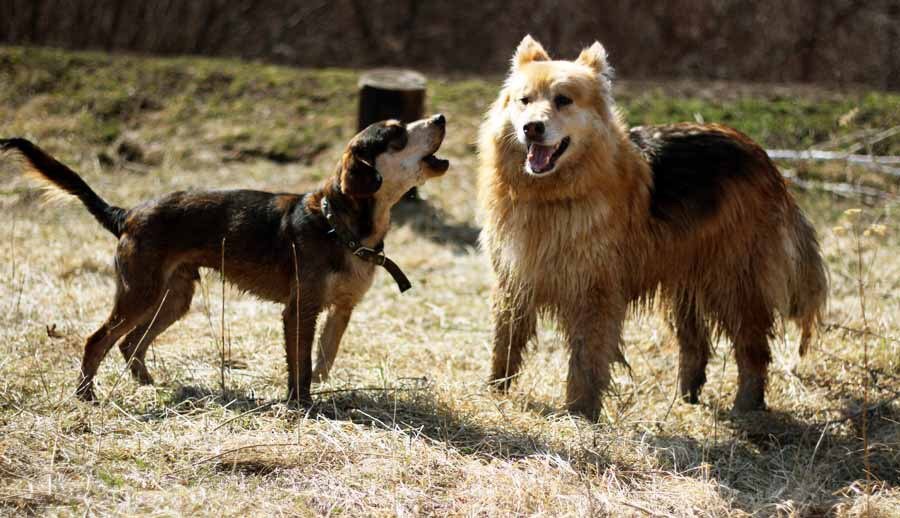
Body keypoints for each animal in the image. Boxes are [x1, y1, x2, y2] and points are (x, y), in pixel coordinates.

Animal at [0, 116, 450, 404]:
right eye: (397, 134)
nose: (441, 116)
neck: (337, 223)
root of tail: (127, 214)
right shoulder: (299, 309)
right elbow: (301, 364)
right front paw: (300, 404)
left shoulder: (341, 308)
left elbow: (326, 354)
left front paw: (318, 390)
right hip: (140, 293)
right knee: (98, 340)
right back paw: (86, 396)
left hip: (173, 297)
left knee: (130, 343)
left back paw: (148, 384)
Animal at [482, 35, 828, 418]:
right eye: (524, 100)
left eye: (563, 100)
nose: (531, 127)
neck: (550, 195)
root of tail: (762, 155)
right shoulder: (514, 279)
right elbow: (505, 342)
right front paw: (495, 391)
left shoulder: (594, 292)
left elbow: (585, 359)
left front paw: (579, 412)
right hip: (686, 280)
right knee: (696, 344)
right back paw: (689, 395)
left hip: (734, 280)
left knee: (752, 347)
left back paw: (746, 405)